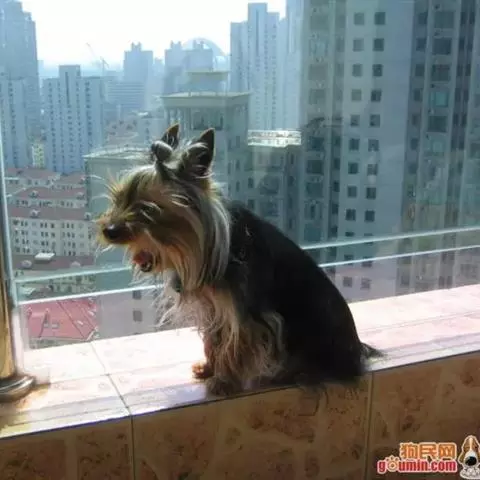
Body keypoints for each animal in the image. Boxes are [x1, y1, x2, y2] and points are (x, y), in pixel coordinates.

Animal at [97, 123, 382, 396]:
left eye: (148, 209)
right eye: (118, 199)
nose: (109, 230)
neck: (202, 247)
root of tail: (357, 353)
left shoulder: (246, 314)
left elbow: (236, 345)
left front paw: (224, 381)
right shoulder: (214, 307)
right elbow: (214, 340)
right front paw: (209, 368)